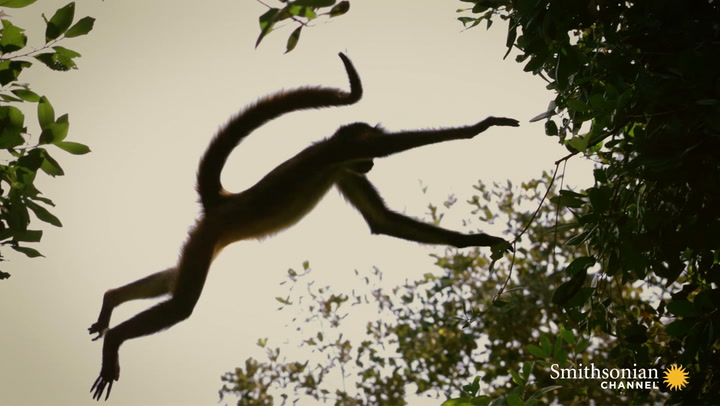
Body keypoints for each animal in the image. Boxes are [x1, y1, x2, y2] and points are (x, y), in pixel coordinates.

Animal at [89, 53, 519, 400]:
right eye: (368, 160)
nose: (370, 166)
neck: (332, 151)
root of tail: (226, 201)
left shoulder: (345, 169)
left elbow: (381, 221)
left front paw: (481, 239)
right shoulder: (340, 154)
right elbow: (389, 148)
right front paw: (480, 126)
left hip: (205, 239)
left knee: (172, 279)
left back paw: (111, 300)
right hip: (210, 235)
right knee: (180, 303)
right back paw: (115, 339)